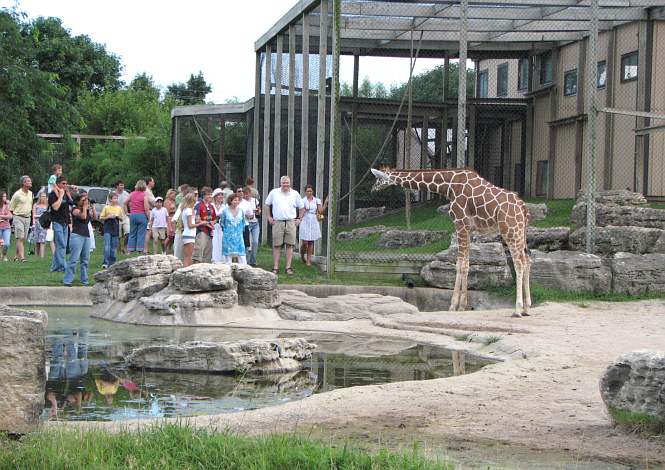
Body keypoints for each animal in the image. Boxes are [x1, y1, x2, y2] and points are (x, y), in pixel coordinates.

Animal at [370, 167, 532, 318]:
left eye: (378, 178)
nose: (373, 189)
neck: (448, 186)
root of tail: (524, 208)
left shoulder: (460, 224)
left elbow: (460, 264)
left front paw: (453, 306)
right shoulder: (469, 229)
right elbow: (467, 264)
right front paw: (463, 306)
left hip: (510, 231)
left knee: (519, 263)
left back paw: (517, 309)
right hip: (521, 233)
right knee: (528, 260)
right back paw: (527, 308)